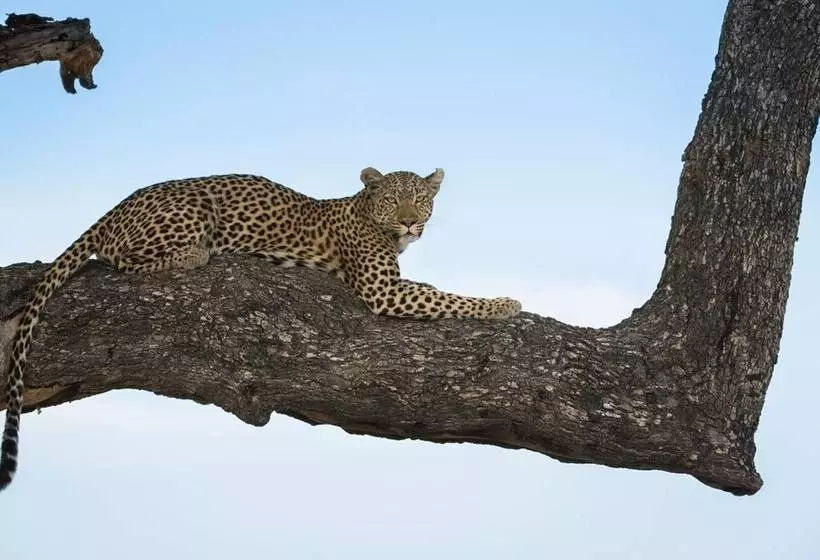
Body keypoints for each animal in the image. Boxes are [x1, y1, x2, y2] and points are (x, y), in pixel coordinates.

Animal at [0, 166, 522, 492]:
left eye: (421, 200)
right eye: (394, 199)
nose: (411, 223)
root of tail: (115, 206)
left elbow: (436, 289)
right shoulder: (382, 291)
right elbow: (448, 298)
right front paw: (506, 304)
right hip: (192, 208)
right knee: (125, 260)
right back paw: (199, 253)